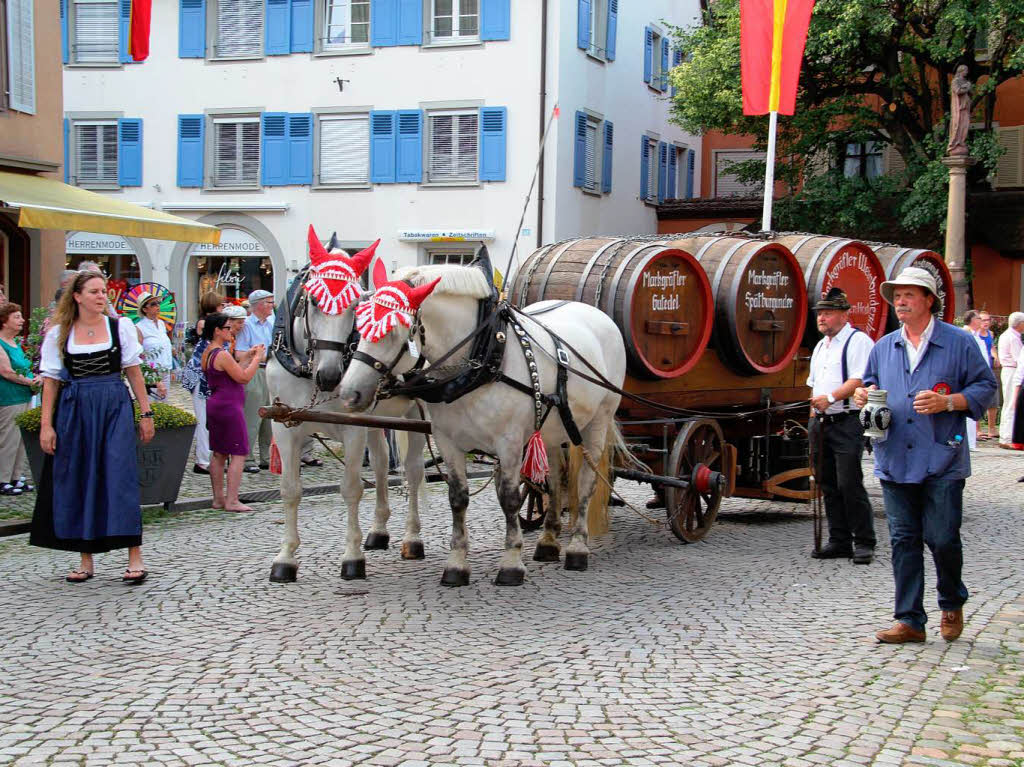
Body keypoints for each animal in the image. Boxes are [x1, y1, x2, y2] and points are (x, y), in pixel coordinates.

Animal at [266, 233, 425, 581]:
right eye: (314, 301)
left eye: (354, 306)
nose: (330, 376)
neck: (308, 370)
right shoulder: (284, 425)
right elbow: (289, 489)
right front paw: (285, 558)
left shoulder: (353, 428)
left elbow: (351, 488)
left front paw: (351, 558)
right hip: (379, 419)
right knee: (381, 464)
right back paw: (378, 531)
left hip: (419, 414)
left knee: (413, 471)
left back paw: (413, 538)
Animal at [337, 260, 622, 581]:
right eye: (359, 325)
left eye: (393, 330)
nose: (348, 393)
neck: (483, 357)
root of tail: (597, 313)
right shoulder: (448, 442)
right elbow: (458, 498)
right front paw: (457, 564)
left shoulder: (509, 443)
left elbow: (509, 499)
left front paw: (511, 562)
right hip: (550, 428)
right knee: (554, 479)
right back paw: (548, 542)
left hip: (598, 421)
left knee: (585, 482)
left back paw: (577, 548)